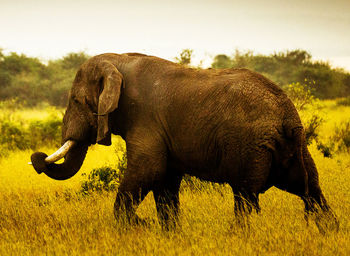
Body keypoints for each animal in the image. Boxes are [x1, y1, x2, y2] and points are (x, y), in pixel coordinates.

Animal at [30, 52, 340, 232]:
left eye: (76, 101)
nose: (37, 157)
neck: (117, 60)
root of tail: (288, 115)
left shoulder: (145, 118)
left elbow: (148, 170)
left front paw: (138, 227)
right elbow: (165, 180)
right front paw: (166, 233)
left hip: (251, 145)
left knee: (245, 198)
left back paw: (239, 236)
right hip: (294, 147)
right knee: (312, 192)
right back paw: (328, 231)